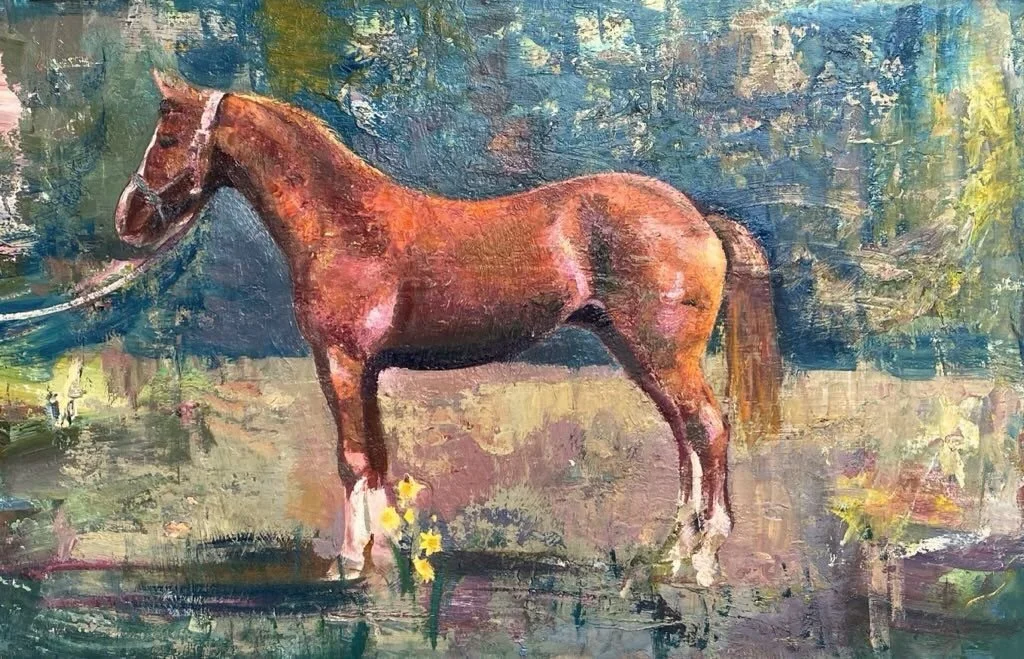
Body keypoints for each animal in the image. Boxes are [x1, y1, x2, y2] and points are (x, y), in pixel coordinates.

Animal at [115, 71, 782, 587]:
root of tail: (698, 216)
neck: (346, 224)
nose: (128, 218)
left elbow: (352, 458)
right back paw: (670, 555)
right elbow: (376, 459)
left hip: (666, 357)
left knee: (709, 430)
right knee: (685, 438)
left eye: (168, 135)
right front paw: (385, 553)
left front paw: (351, 563)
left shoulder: (341, 361)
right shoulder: (366, 370)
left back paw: (702, 562)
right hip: (639, 354)